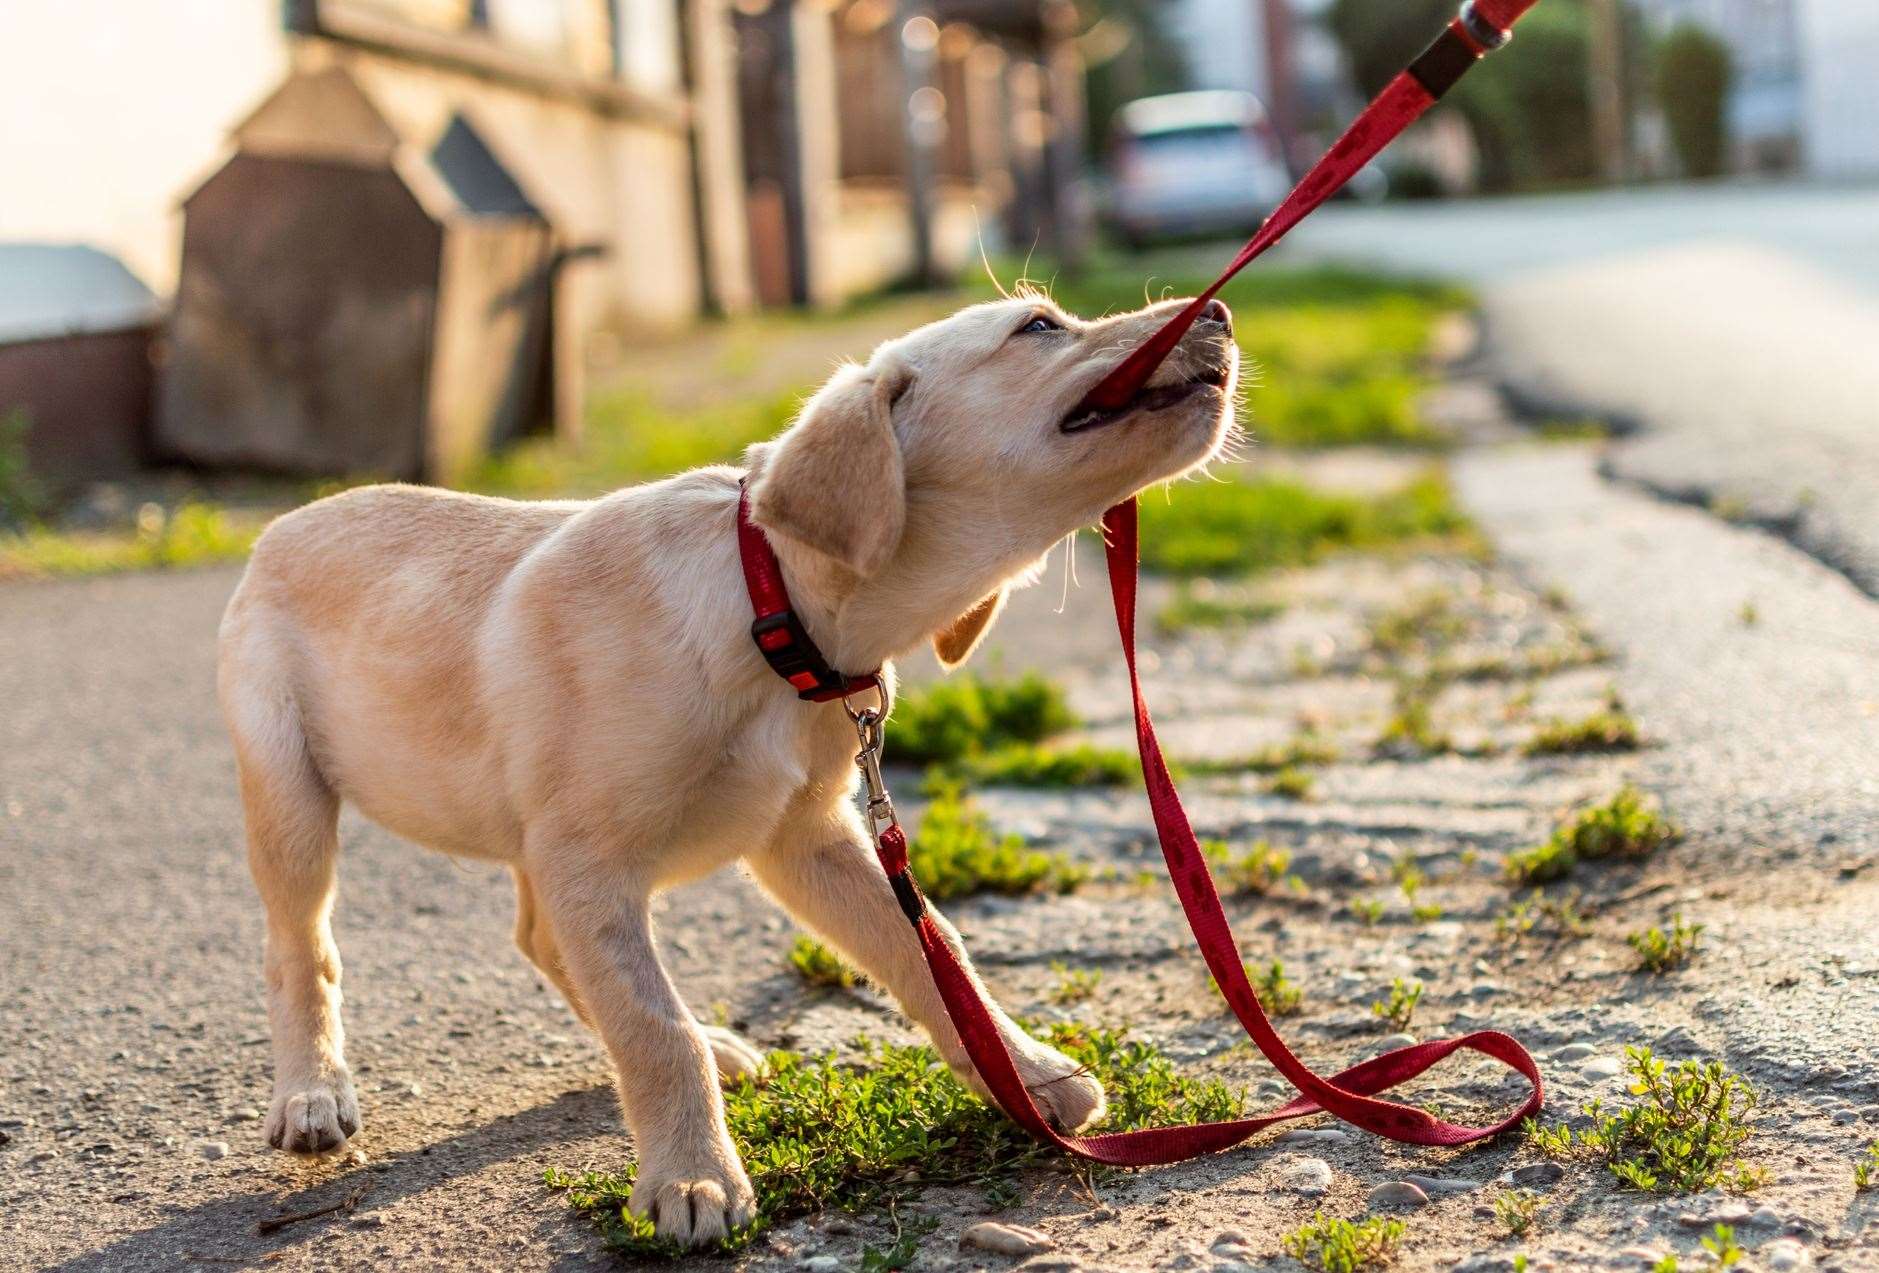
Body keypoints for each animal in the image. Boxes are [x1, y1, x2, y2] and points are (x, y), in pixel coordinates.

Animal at [219, 289, 1240, 1241]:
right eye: (1038, 327)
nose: (1222, 310)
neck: (770, 610)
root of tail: (283, 524)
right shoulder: (591, 856)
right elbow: (651, 1025)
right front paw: (691, 1178)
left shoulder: (806, 838)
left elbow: (931, 948)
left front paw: (1025, 1073)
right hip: (292, 796)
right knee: (300, 946)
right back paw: (312, 1093)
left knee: (542, 940)